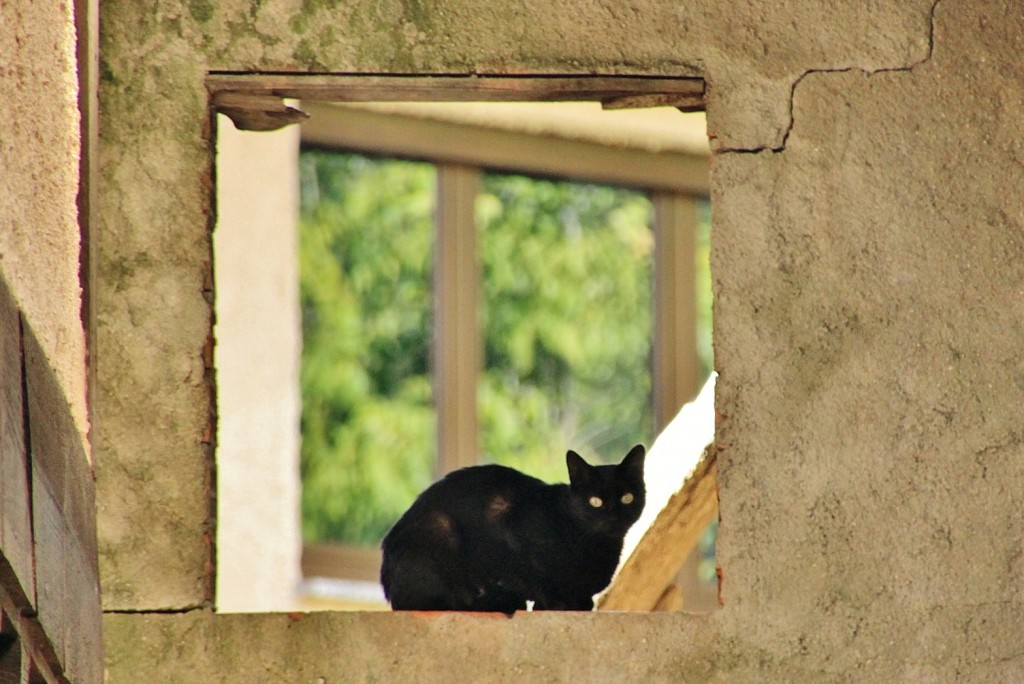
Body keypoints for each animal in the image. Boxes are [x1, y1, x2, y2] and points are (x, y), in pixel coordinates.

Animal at [380, 446, 643, 610]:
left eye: (627, 498)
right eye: (595, 501)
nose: (614, 516)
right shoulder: (508, 526)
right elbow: (535, 577)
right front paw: (555, 603)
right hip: (441, 529)